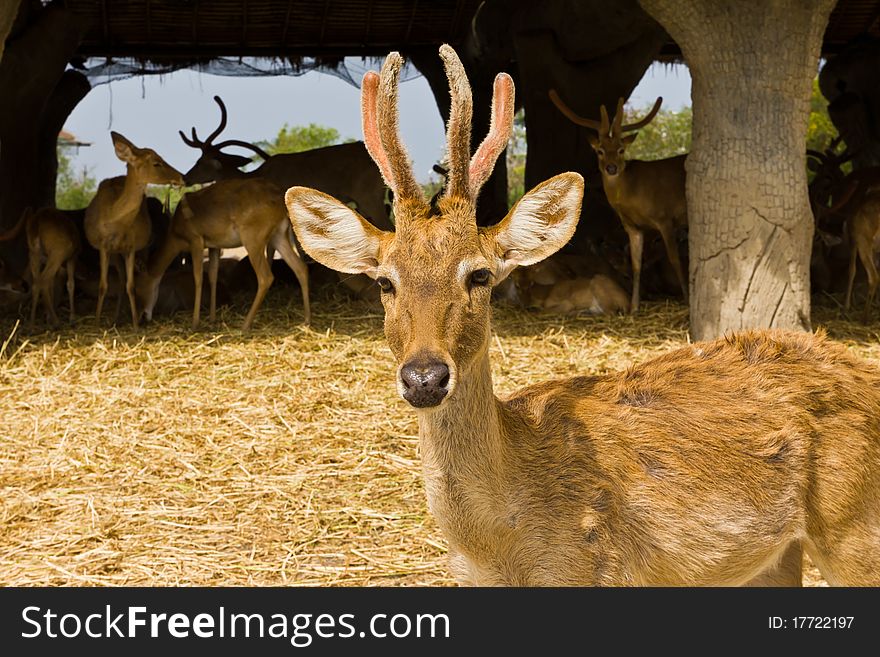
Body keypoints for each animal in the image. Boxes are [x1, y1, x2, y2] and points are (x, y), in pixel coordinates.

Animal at [84, 132, 184, 328]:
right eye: (157, 162)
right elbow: (103, 285)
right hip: (116, 253)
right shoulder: (103, 246)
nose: (182, 177)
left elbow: (131, 286)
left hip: (139, 248)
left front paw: (136, 325)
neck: (114, 221)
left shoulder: (131, 247)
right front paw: (98, 323)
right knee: (121, 279)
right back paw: (116, 318)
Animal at [139, 177, 312, 330]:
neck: (176, 233)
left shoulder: (196, 240)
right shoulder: (214, 246)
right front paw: (212, 318)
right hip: (279, 236)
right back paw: (306, 321)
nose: (144, 316)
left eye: (138, 285)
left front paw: (195, 324)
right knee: (300, 268)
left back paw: (245, 326)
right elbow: (213, 276)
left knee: (266, 277)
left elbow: (198, 278)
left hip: (253, 239)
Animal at [552, 89, 688, 312]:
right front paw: (634, 307)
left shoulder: (665, 217)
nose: (612, 168)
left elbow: (674, 258)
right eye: (599, 150)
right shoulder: (632, 226)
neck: (634, 198)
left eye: (621, 149)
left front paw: (686, 298)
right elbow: (636, 264)